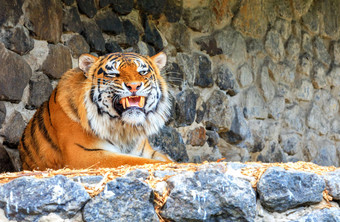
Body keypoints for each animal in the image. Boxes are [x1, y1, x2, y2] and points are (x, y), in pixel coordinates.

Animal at [17, 52, 173, 170]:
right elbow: (137, 161)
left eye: (142, 72)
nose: (134, 86)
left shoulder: (148, 151)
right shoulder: (85, 154)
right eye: (113, 74)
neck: (125, 129)